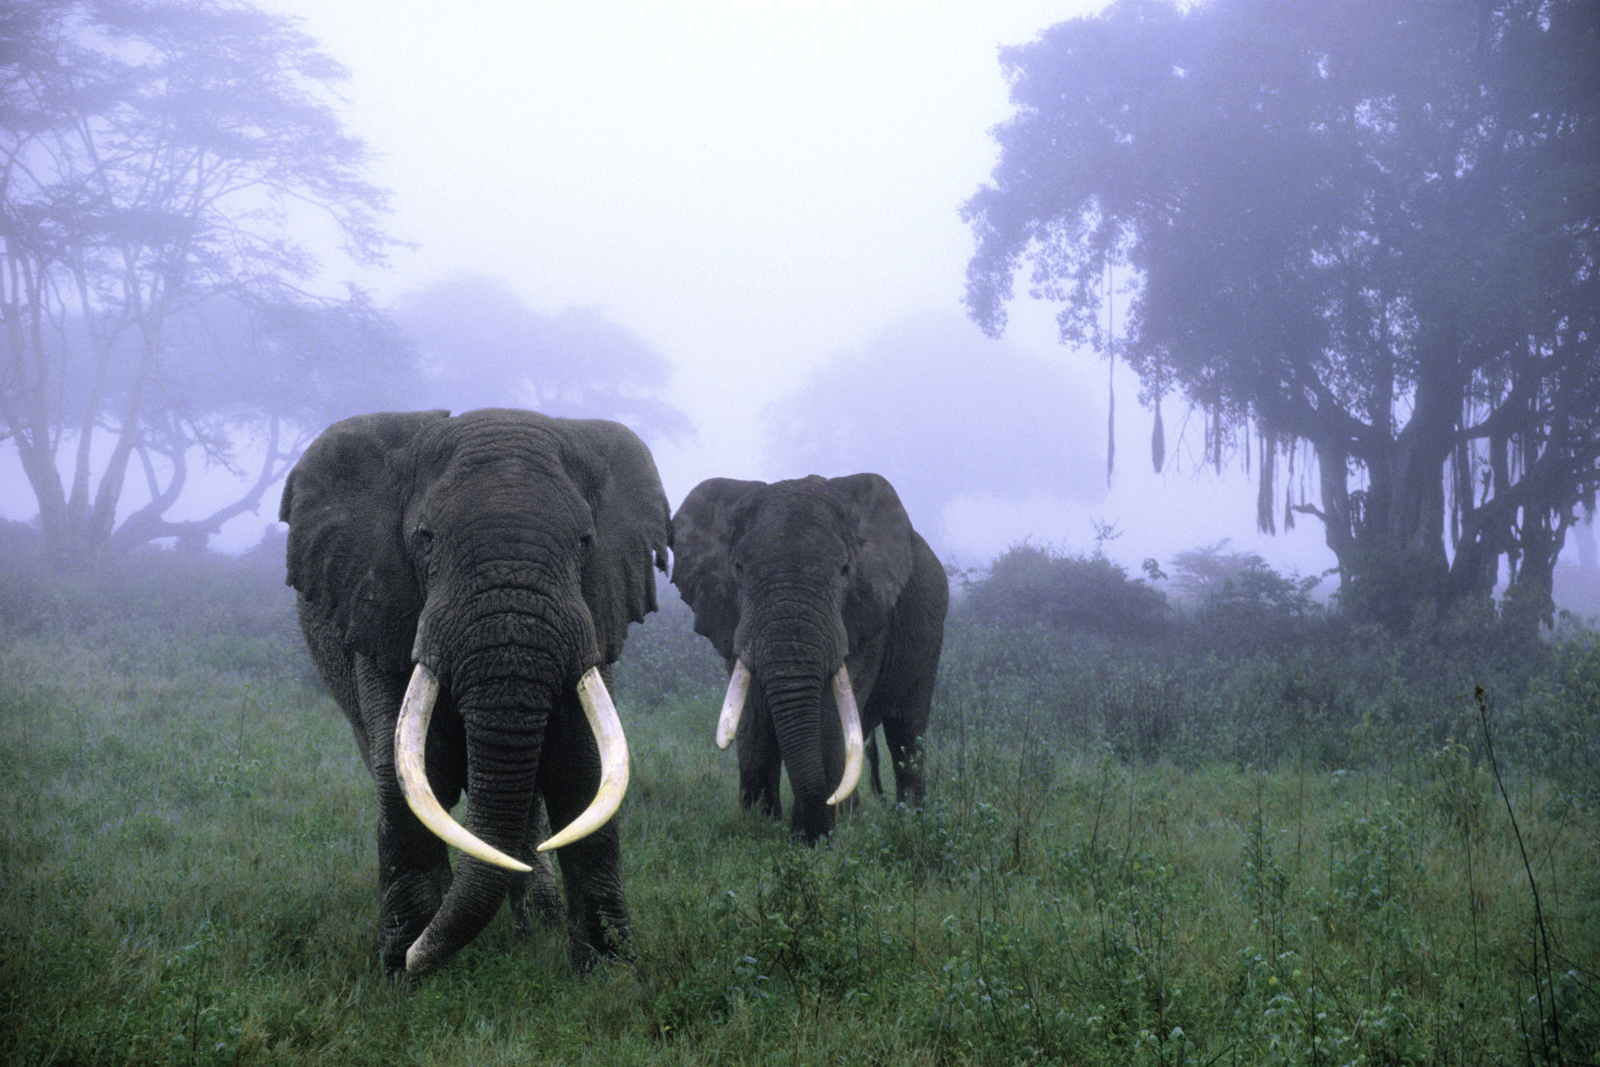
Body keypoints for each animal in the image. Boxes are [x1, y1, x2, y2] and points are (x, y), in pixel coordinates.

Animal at [281, 406, 668, 979]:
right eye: (425, 538)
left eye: (585, 541)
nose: (414, 960)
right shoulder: (383, 613)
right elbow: (409, 773)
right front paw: (403, 973)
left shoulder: (595, 617)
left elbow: (585, 770)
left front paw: (611, 975)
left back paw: (538, 925)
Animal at [675, 473, 947, 844]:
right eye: (738, 569)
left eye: (845, 570)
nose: (809, 831)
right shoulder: (733, 619)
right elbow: (752, 717)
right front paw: (759, 831)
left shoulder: (866, 615)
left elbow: (830, 717)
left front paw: (812, 843)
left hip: (929, 637)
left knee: (907, 732)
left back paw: (911, 822)